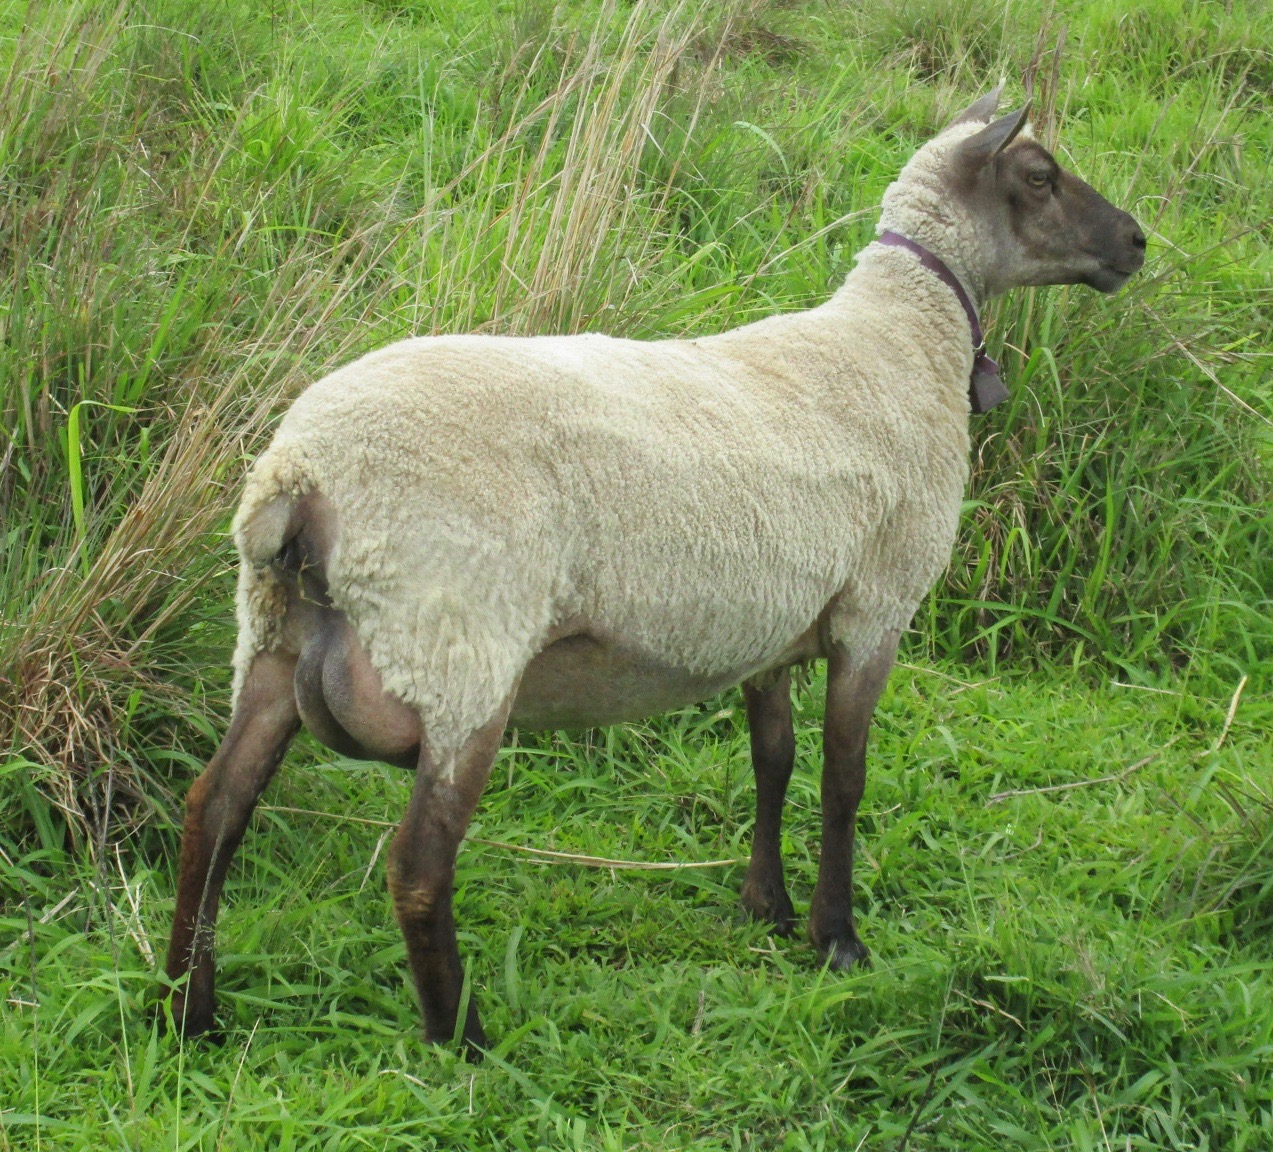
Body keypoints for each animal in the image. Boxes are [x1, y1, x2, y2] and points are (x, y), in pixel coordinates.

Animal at [164, 85, 1150, 1048]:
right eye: (1039, 175)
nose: (1136, 242)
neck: (905, 336)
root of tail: (295, 477)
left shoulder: (772, 624)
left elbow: (773, 759)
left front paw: (765, 906)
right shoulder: (875, 608)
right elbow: (843, 777)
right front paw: (837, 939)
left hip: (274, 637)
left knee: (213, 809)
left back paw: (190, 1014)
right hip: (457, 654)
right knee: (416, 864)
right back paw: (460, 1038)